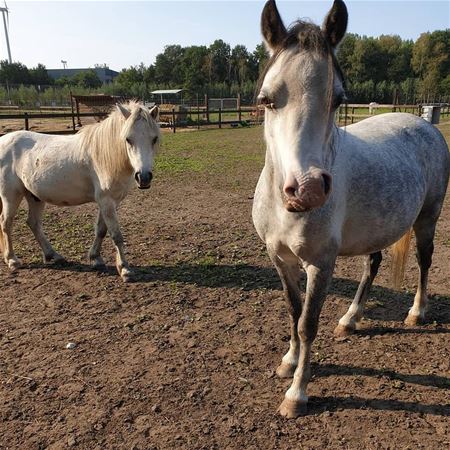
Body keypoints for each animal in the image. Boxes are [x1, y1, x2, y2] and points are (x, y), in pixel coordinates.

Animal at [0, 101, 160, 282]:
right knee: (6, 222)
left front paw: (96, 259)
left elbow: (101, 230)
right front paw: (125, 269)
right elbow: (116, 234)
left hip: (35, 196)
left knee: (33, 223)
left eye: (154, 139)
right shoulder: (106, 200)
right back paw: (12, 260)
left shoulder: (111, 201)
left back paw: (53, 255)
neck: (106, 155)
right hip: (10, 195)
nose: (144, 177)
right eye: (128, 139)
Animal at [253, 0, 450, 418]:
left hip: (428, 218)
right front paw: (288, 362)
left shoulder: (320, 263)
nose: (308, 190)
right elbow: (293, 312)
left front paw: (297, 393)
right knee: (372, 264)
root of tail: (423, 123)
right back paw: (350, 318)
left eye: (338, 99)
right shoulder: (279, 258)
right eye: (266, 99)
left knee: (425, 261)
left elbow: (308, 323)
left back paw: (416, 312)